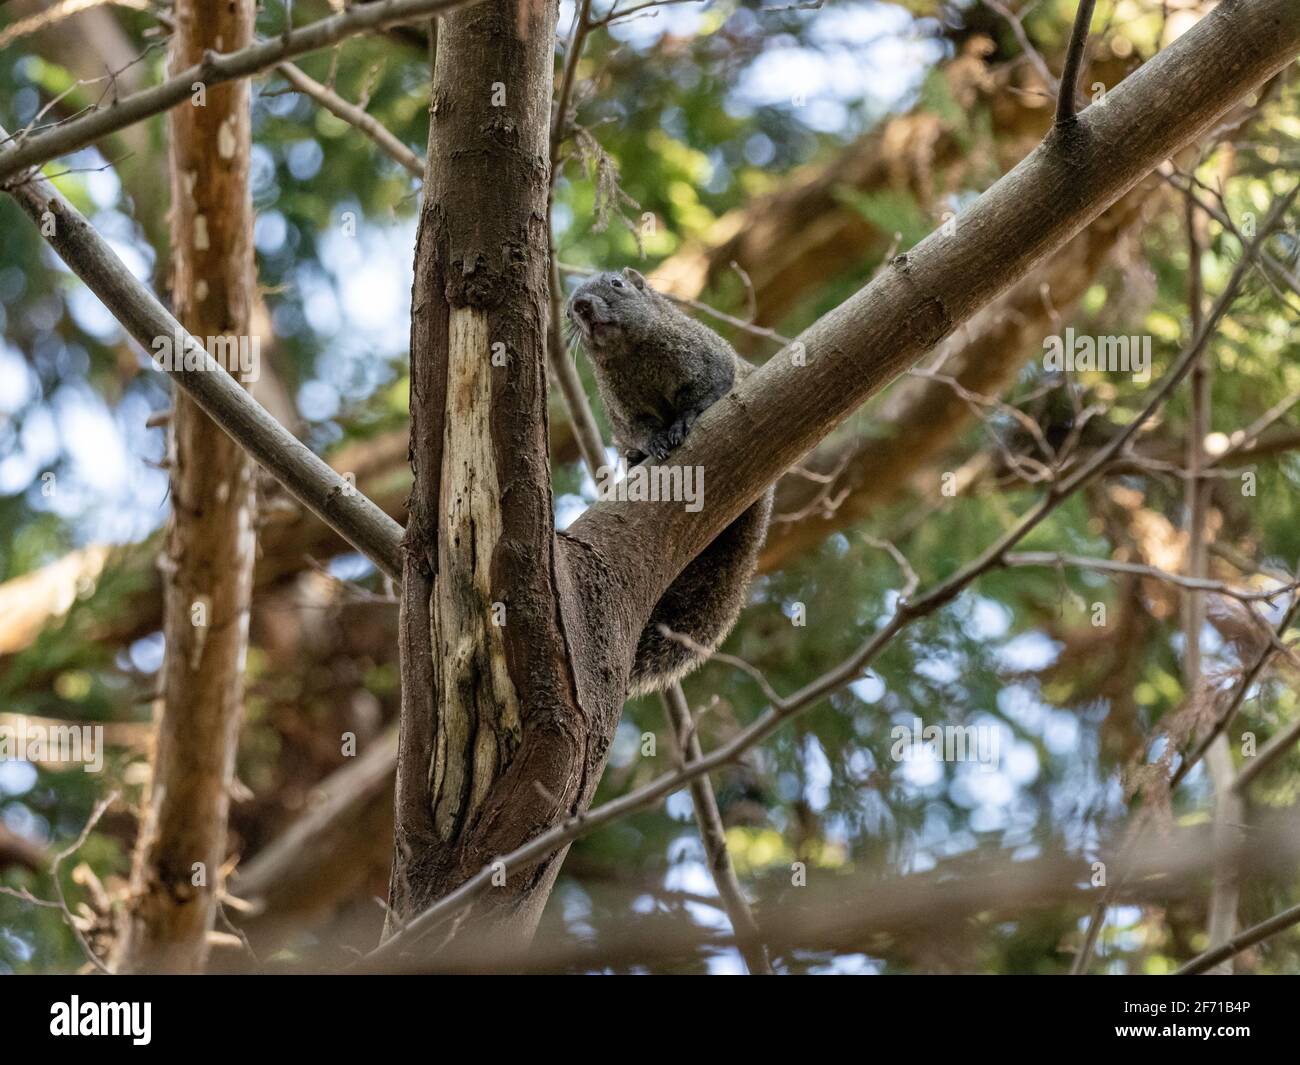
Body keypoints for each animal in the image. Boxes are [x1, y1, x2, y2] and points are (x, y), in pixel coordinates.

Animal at [566, 267, 773, 696]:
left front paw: (683, 422)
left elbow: (706, 393)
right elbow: (642, 428)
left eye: (616, 284)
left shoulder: (710, 359)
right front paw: (653, 443)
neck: (633, 355)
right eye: (568, 313)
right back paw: (635, 459)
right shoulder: (625, 411)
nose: (582, 306)